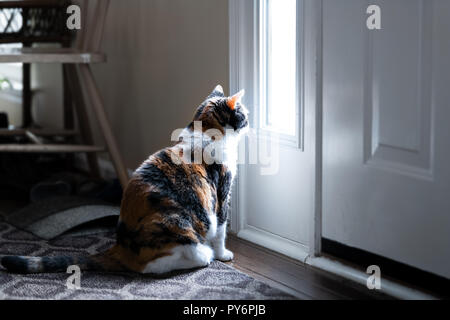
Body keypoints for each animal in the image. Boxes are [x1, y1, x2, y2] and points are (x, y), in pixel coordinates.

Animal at [0, 85, 250, 276]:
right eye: (243, 112)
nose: (249, 119)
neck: (206, 131)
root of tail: (120, 248)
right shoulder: (221, 194)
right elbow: (221, 229)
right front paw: (223, 254)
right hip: (178, 222)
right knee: (152, 266)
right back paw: (205, 256)